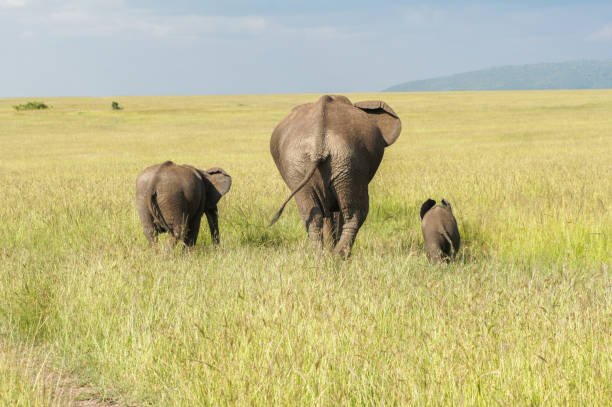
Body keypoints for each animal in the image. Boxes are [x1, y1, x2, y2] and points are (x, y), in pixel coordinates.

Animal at [268, 94, 402, 256]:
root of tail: (319, 138)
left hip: (305, 164)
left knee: (312, 213)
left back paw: (320, 255)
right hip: (346, 160)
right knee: (354, 213)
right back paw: (339, 255)